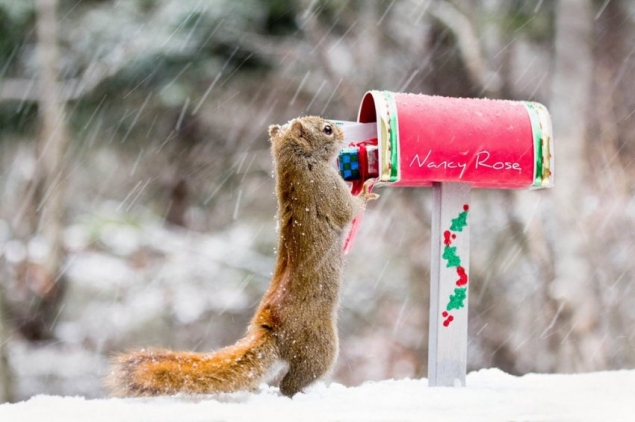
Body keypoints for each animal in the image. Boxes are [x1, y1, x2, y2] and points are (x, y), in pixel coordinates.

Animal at [108, 116, 378, 398]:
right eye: (327, 130)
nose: (342, 133)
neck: (300, 162)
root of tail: (272, 327)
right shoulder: (327, 188)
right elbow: (348, 209)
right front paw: (365, 191)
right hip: (319, 344)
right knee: (291, 382)